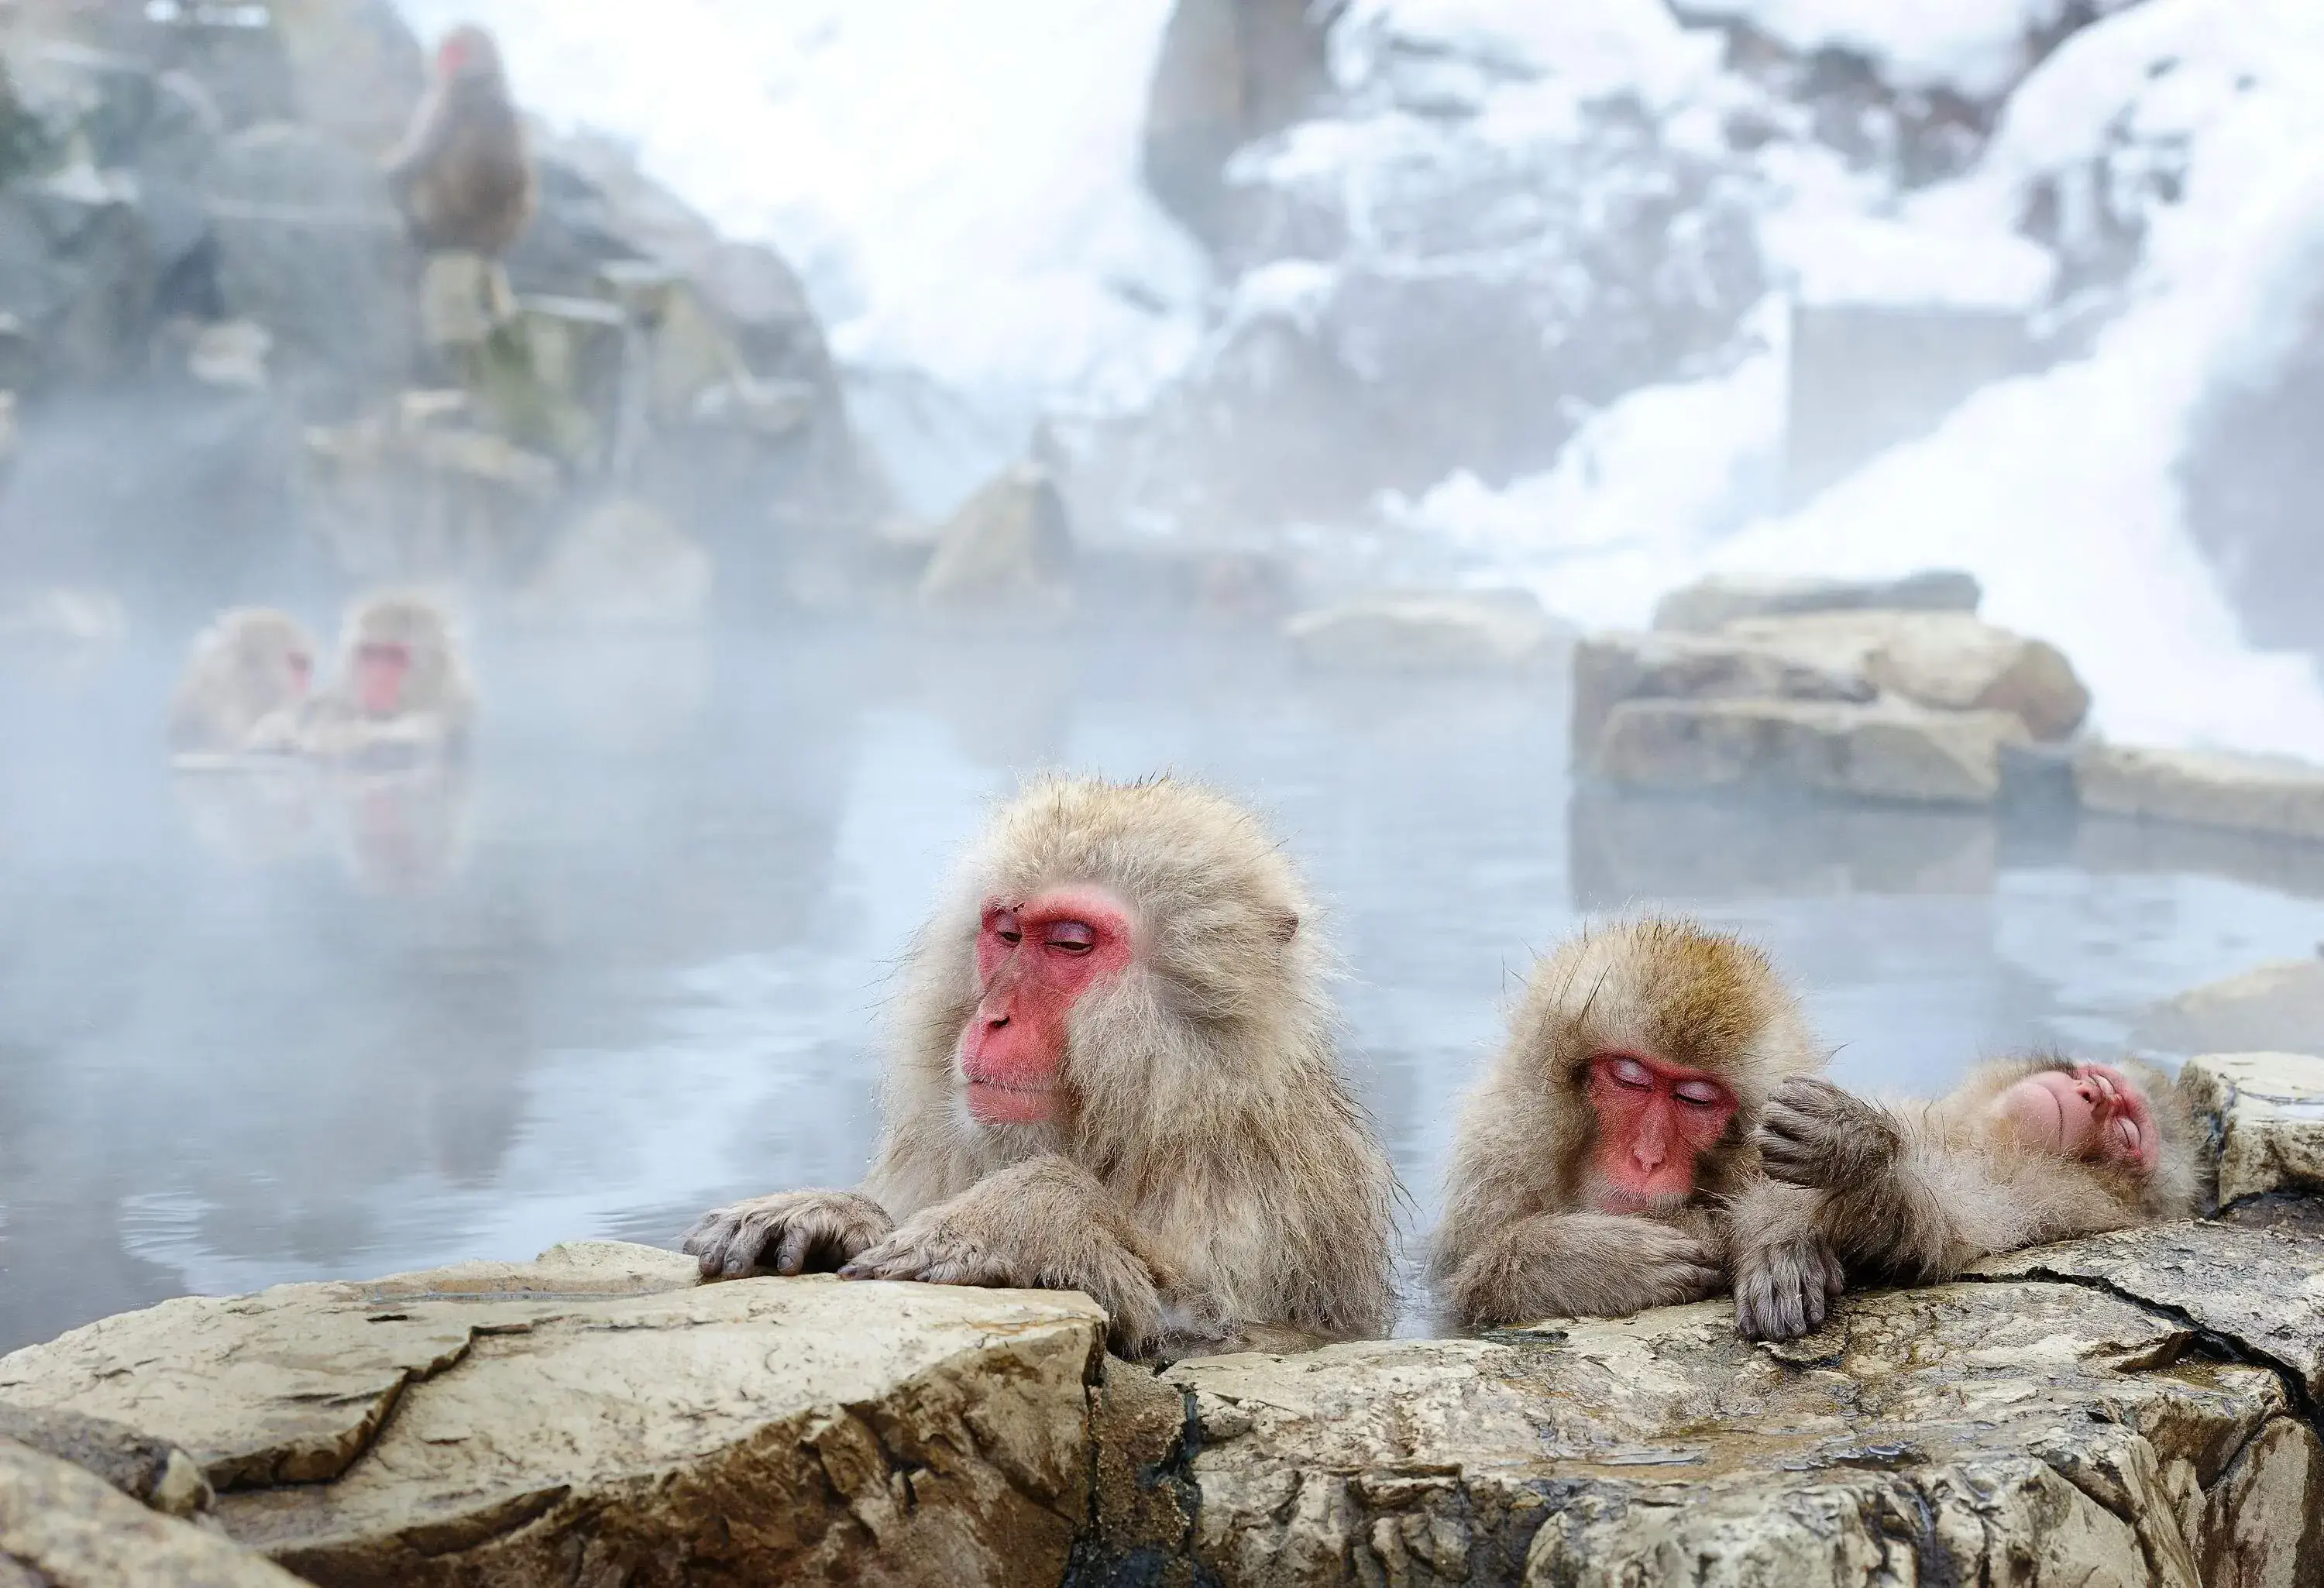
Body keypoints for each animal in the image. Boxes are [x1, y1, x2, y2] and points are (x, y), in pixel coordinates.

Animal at [384, 25, 535, 257]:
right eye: (448, 49)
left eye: (458, 52)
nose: (444, 62)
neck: (482, 79)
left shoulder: (446, 100)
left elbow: (405, 172)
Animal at [683, 774, 1400, 1360]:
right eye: (1006, 933)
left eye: (1070, 943)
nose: (993, 1017)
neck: (1152, 1113)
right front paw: (834, 1212)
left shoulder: (1264, 1191)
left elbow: (1213, 1329)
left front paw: (1027, 1218)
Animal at [1429, 917, 1828, 1331]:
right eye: (1629, 1078)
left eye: (1695, 1099)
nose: (1647, 1157)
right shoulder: (1500, 1159)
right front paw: (1591, 1262)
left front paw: (1775, 1231)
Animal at [1731, 1054, 2201, 1342]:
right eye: (2099, 1079)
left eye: (2128, 1130)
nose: (2094, 1095)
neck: (1987, 1139)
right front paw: (1782, 1247)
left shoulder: (2046, 1195)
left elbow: (1939, 1231)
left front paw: (1852, 1148)